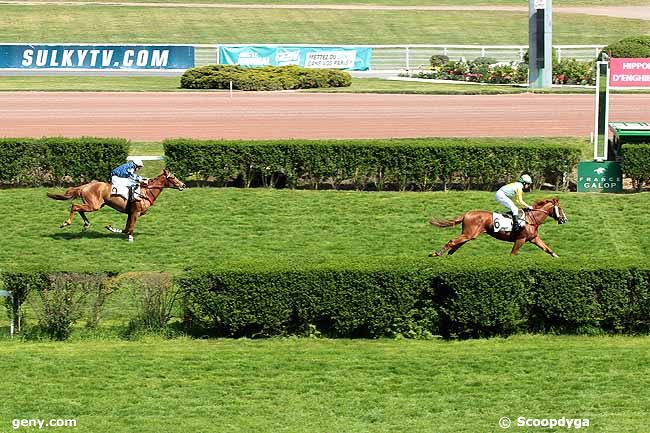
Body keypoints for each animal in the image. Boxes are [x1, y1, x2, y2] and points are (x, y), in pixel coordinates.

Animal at [47, 169, 185, 241]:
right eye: (172, 177)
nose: (183, 185)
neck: (145, 191)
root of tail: (85, 186)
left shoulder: (131, 213)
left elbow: (126, 228)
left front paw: (111, 228)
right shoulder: (136, 212)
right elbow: (130, 228)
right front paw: (130, 239)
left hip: (94, 205)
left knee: (79, 208)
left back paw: (86, 224)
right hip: (94, 205)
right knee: (74, 206)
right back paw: (66, 223)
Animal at [428, 198, 564, 256]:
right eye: (560, 208)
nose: (564, 219)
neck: (531, 219)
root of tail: (466, 214)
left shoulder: (533, 238)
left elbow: (548, 249)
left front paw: (558, 258)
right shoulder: (520, 239)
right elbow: (512, 254)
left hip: (468, 235)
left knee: (455, 246)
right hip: (468, 234)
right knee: (452, 242)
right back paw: (437, 253)